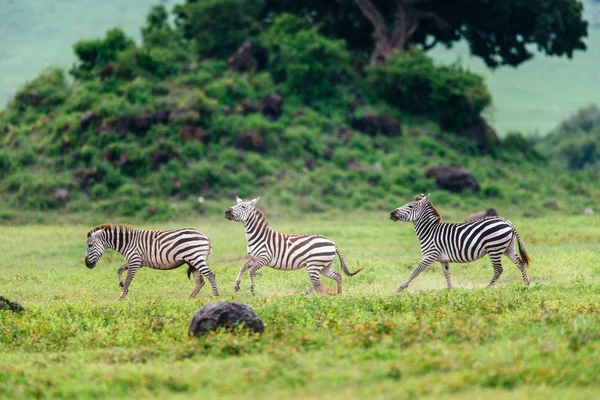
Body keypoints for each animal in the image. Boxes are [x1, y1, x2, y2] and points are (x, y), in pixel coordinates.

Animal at [83, 225, 217, 296]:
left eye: (90, 245)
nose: (87, 264)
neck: (127, 243)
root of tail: (206, 237)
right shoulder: (136, 262)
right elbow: (119, 270)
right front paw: (121, 286)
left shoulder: (135, 261)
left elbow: (128, 280)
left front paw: (122, 296)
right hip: (192, 261)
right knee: (200, 281)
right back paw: (190, 299)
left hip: (196, 258)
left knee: (210, 275)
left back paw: (215, 296)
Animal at [223, 196, 358, 294]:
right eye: (236, 205)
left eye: (243, 206)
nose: (227, 211)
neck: (257, 237)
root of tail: (332, 243)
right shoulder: (253, 258)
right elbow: (242, 268)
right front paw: (236, 286)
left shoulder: (264, 258)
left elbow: (251, 271)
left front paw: (252, 289)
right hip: (324, 266)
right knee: (337, 276)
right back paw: (338, 294)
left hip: (314, 264)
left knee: (316, 283)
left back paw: (302, 296)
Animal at [390, 195, 528, 292]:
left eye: (410, 206)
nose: (391, 213)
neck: (429, 231)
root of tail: (508, 222)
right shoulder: (443, 259)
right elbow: (447, 274)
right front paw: (450, 290)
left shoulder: (430, 255)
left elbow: (415, 271)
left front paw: (401, 288)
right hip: (507, 248)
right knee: (520, 263)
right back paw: (527, 284)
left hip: (494, 248)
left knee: (498, 269)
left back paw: (487, 288)